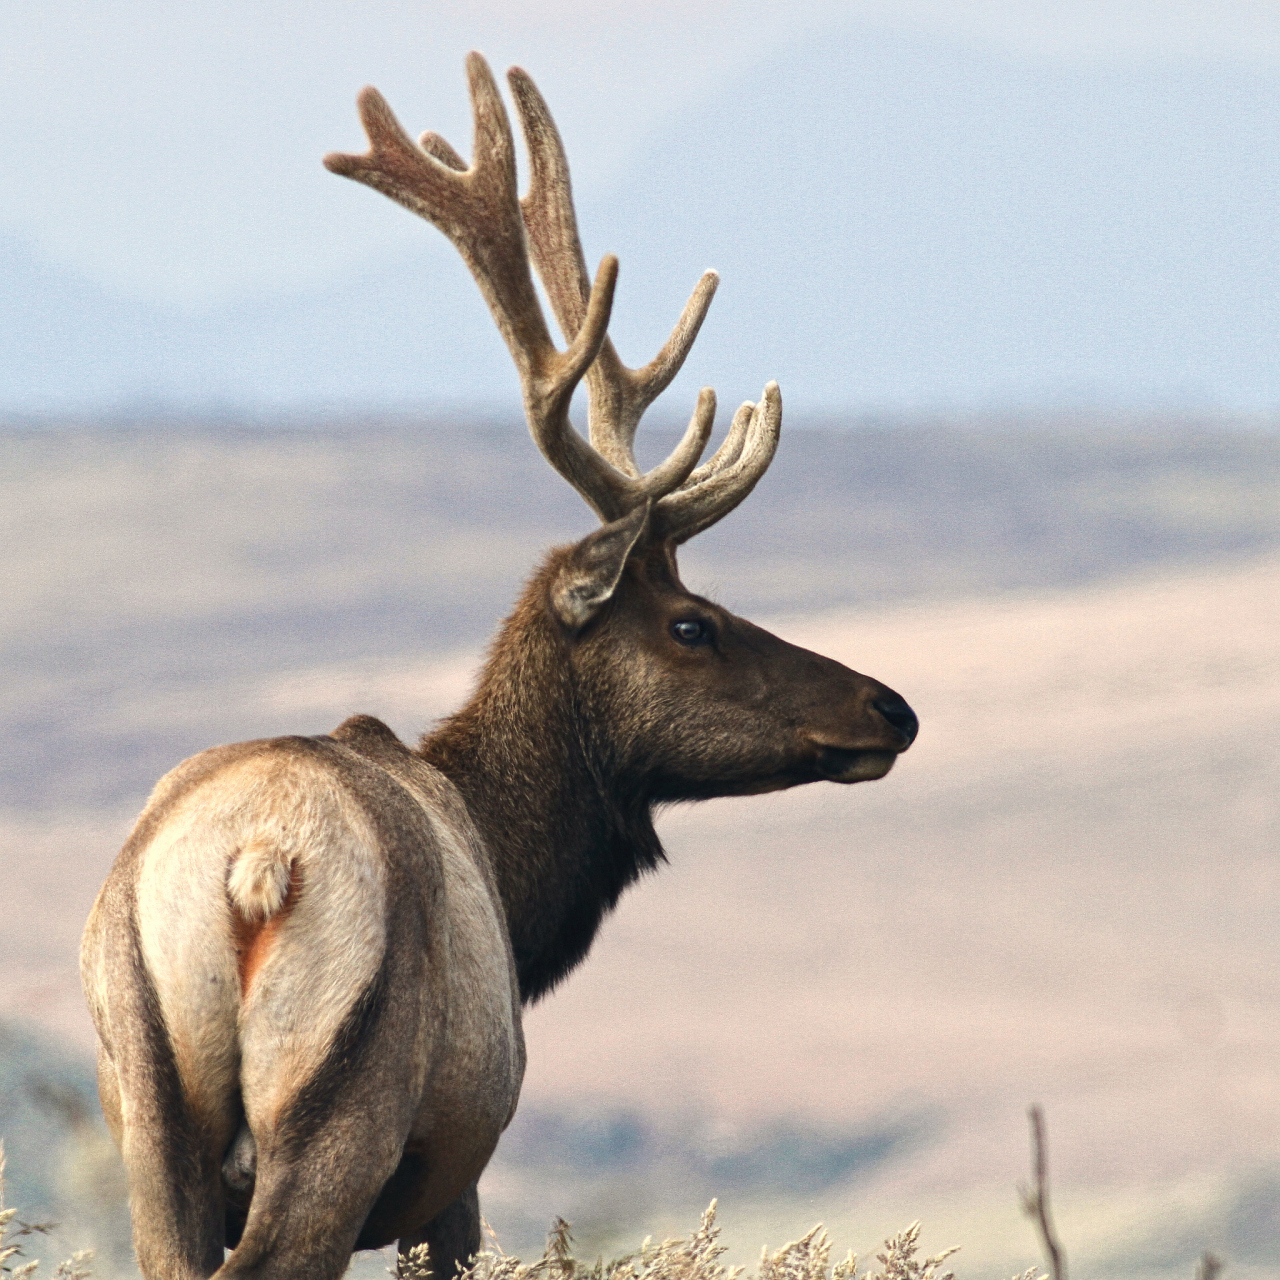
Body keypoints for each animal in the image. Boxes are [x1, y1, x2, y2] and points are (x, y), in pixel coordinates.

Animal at [80, 55, 916, 1280]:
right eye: (690, 623)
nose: (890, 706)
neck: (524, 905)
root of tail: (250, 865)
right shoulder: (456, 1175)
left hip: (144, 1099)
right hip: (353, 1092)